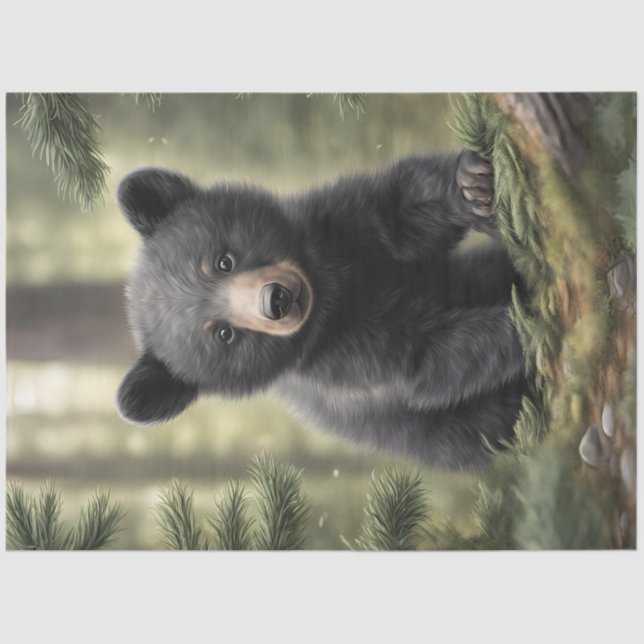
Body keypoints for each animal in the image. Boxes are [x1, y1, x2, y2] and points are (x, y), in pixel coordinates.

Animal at [116, 150, 526, 471]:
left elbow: (398, 208)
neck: (329, 289)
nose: (276, 300)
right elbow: (428, 357)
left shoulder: (331, 223)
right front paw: (519, 323)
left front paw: (470, 186)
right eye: (223, 333)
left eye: (222, 262)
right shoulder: (339, 362)